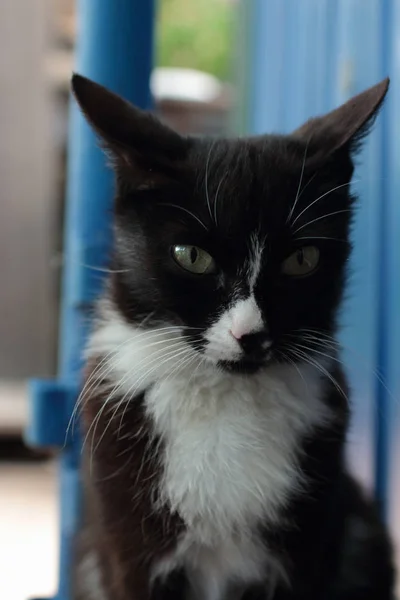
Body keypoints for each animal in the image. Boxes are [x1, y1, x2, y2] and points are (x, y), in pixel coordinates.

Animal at [71, 75, 394, 600]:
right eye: (191, 256)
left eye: (302, 260)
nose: (250, 334)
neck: (224, 397)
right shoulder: (127, 547)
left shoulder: (306, 547)